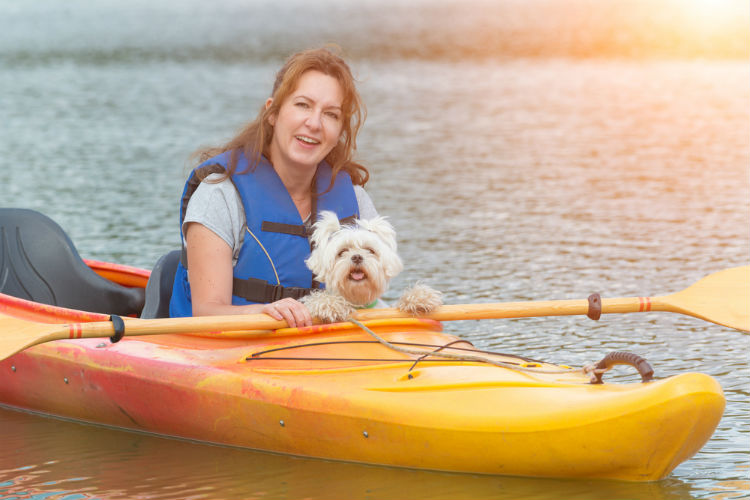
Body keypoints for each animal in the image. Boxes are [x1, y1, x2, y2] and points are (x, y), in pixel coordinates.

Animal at [302, 210, 444, 320]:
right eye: (342, 252)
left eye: (370, 250)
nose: (357, 257)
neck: (360, 303)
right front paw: (329, 304)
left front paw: (420, 297)